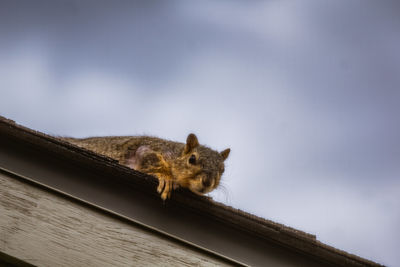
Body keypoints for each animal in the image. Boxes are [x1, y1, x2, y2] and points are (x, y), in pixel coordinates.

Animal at [62, 134, 231, 201]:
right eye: (192, 159)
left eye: (222, 169)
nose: (207, 182)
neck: (176, 155)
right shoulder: (150, 151)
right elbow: (150, 160)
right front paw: (166, 178)